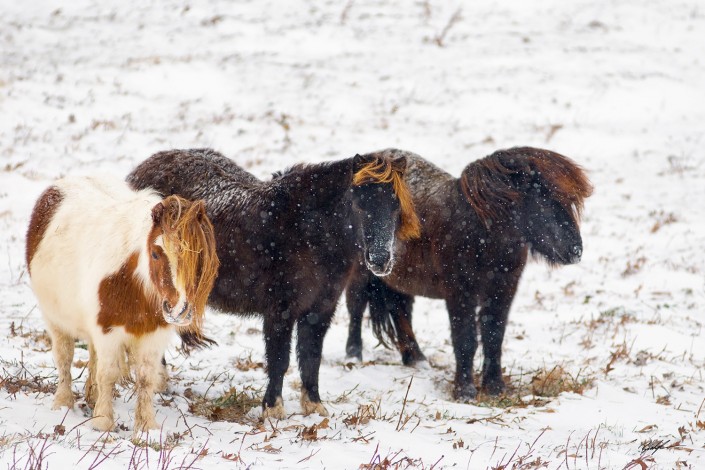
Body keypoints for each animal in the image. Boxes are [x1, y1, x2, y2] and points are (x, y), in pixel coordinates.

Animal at [25, 177, 217, 434]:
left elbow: (146, 378)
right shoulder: (107, 331)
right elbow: (108, 374)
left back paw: (92, 396)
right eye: (156, 253)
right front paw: (103, 422)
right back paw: (63, 403)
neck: (134, 280)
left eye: (198, 257)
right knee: (64, 357)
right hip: (55, 319)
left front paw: (147, 426)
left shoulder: (154, 336)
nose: (179, 310)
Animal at [127, 148, 418, 418]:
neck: (308, 232)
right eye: (360, 204)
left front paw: (314, 405)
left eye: (395, 207)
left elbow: (311, 357)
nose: (380, 260)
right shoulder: (280, 310)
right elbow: (280, 359)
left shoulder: (320, 310)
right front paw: (273, 409)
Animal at [344, 147, 592, 400]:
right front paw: (464, 391)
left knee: (400, 309)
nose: (576, 251)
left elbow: (494, 336)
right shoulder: (460, 294)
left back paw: (416, 359)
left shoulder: (503, 292)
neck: (480, 233)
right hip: (362, 272)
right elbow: (465, 339)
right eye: (544, 200)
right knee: (356, 306)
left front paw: (495, 387)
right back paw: (354, 355)